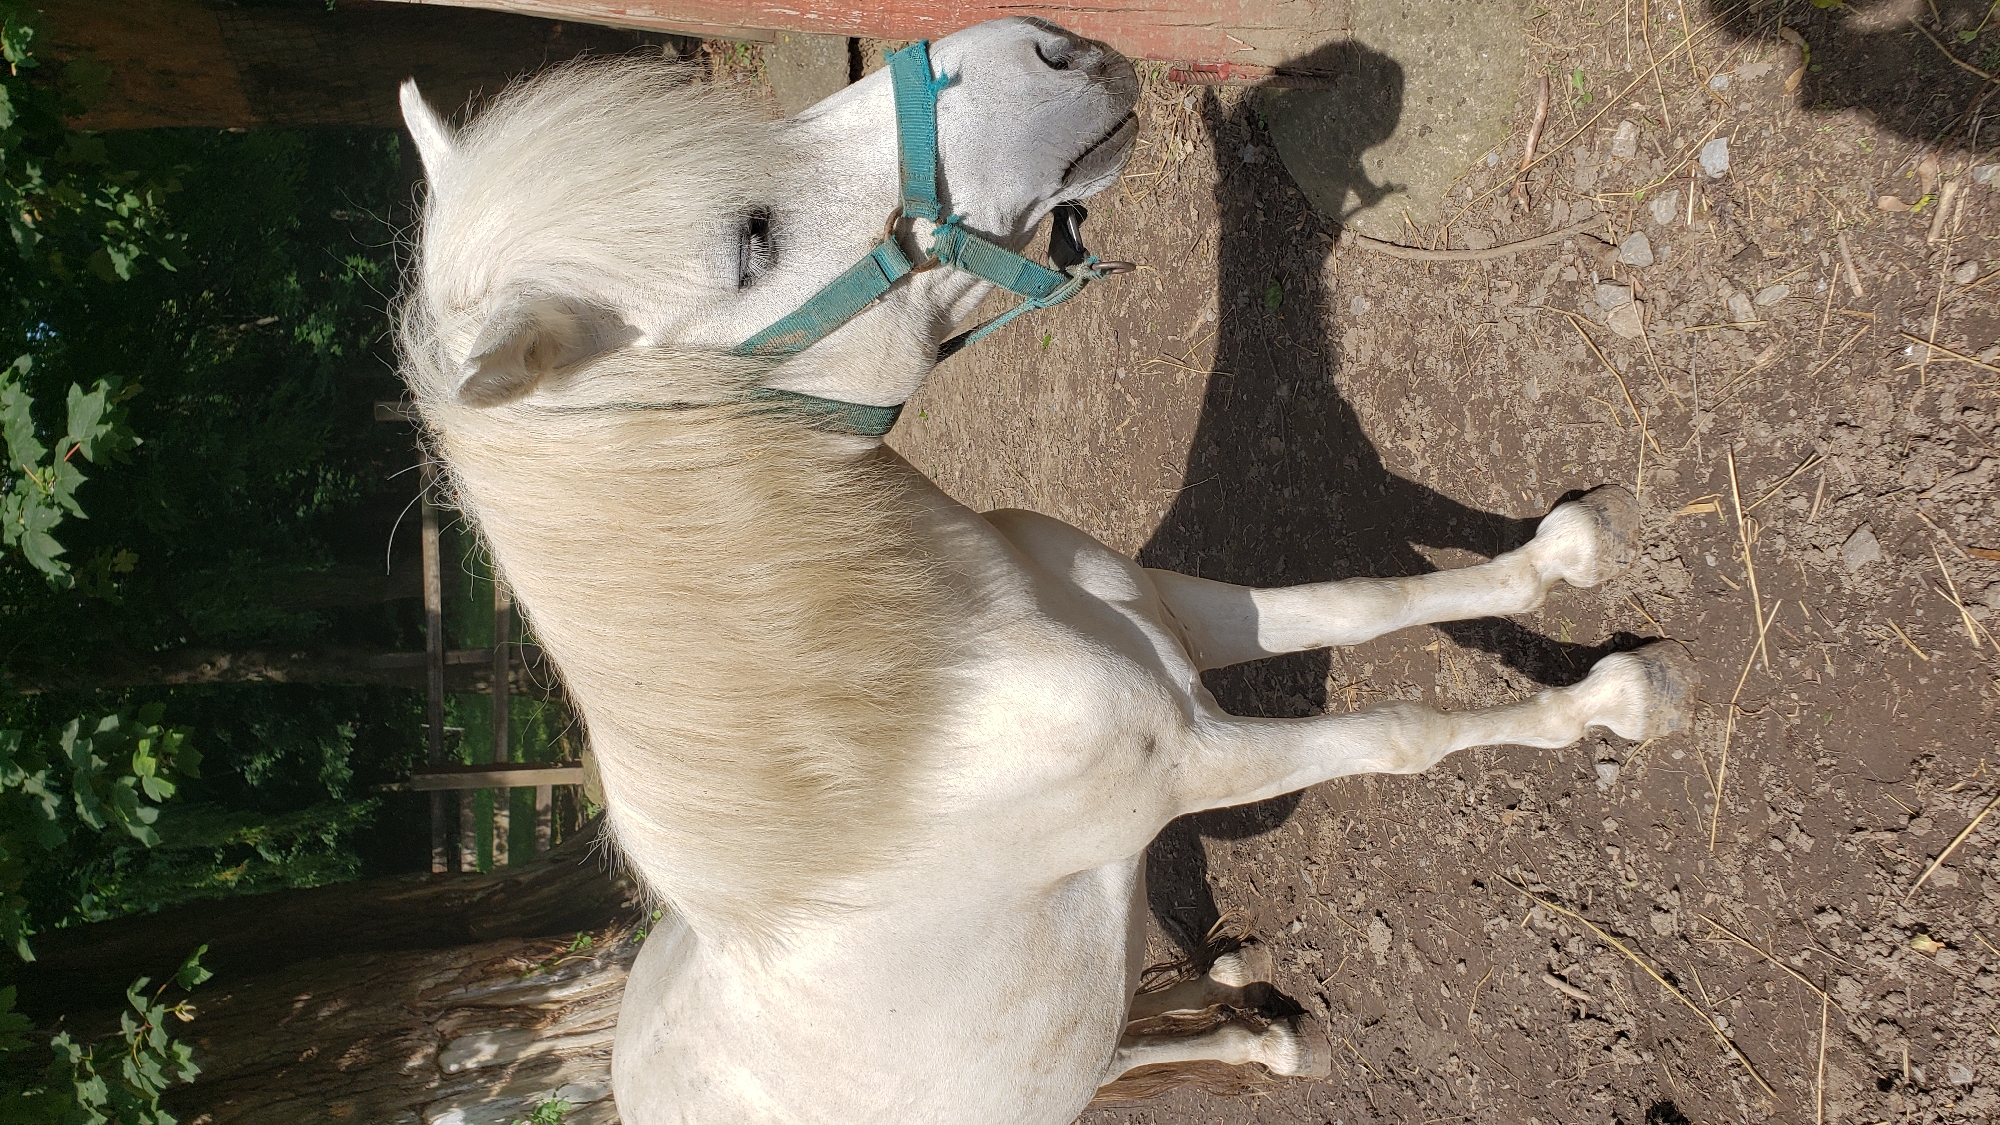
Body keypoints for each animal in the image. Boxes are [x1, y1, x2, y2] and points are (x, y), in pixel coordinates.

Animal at [393, 18, 1697, 1123]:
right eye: (748, 238)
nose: (1052, 50)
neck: (932, 701)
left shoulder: (1178, 619)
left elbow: (1367, 600)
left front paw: (1569, 553)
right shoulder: (1197, 762)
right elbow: (1403, 733)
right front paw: (1614, 702)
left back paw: (1234, 984)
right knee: (1120, 1056)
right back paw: (1268, 1042)